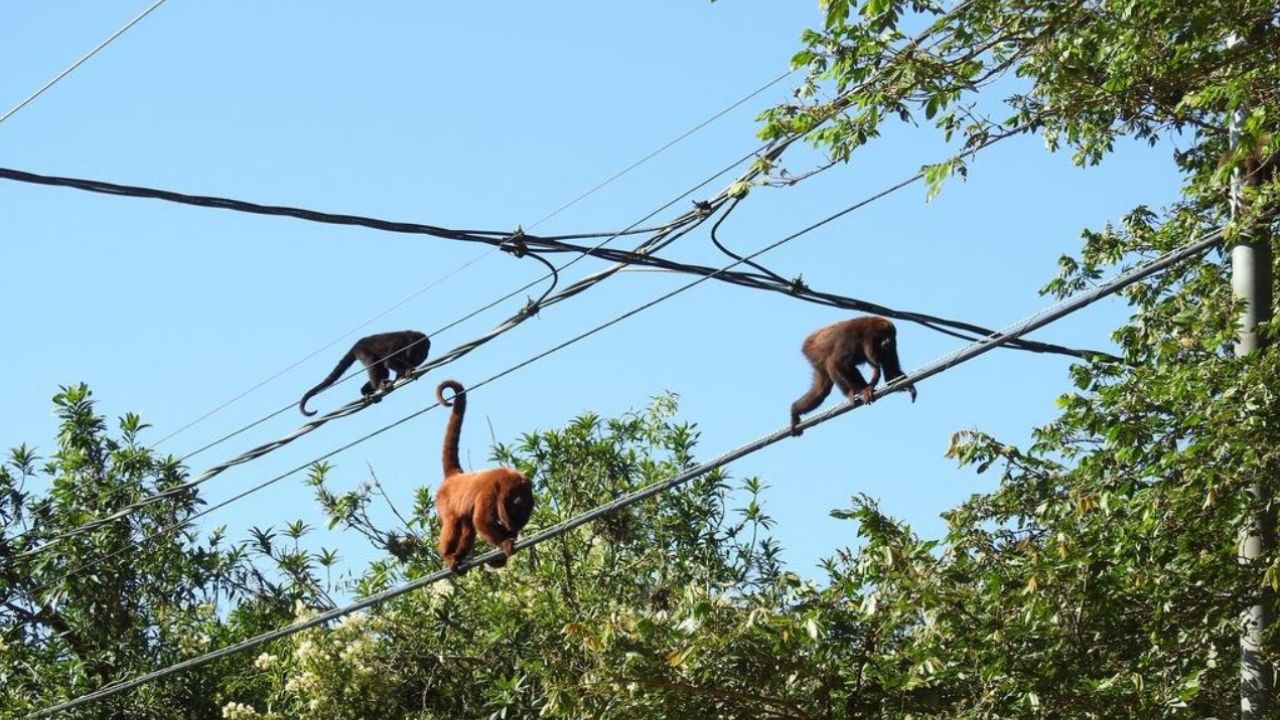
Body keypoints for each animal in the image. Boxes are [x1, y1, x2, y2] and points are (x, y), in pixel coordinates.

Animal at [295, 326, 430, 415]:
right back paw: (379, 385)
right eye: (420, 350)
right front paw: (407, 370)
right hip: (363, 351)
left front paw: (402, 375)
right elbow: (389, 360)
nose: (421, 357)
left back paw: (365, 391)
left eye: (424, 353)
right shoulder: (400, 343)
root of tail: (358, 343)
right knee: (375, 363)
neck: (409, 342)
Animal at [430, 376, 529, 571]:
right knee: (453, 521)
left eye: (522, 495)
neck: (505, 481)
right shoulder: (489, 491)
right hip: (444, 501)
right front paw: (506, 543)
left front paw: (505, 547)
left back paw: (459, 555)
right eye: (516, 495)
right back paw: (448, 555)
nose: (519, 500)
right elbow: (482, 521)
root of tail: (455, 476)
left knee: (468, 527)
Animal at [783, 315, 916, 438]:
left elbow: (890, 374)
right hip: (813, 351)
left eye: (890, 335)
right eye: (883, 335)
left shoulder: (893, 346)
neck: (867, 335)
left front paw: (909, 387)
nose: (888, 341)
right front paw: (864, 389)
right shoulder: (851, 335)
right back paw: (850, 393)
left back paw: (795, 410)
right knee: (831, 364)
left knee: (821, 390)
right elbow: (837, 362)